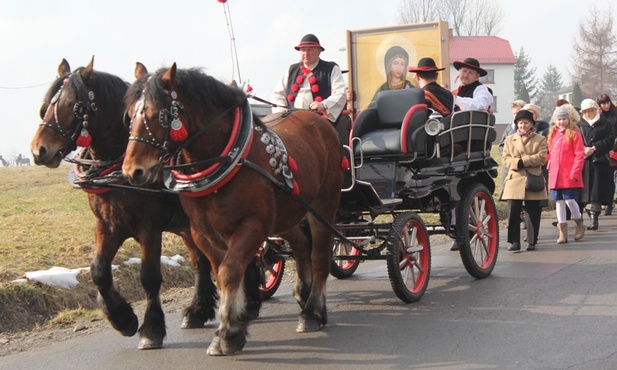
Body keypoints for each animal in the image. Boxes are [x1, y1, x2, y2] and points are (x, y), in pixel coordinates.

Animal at [31, 57, 220, 350]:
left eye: (73, 105)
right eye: (47, 105)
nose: (39, 150)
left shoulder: (149, 227)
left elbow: (149, 276)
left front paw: (151, 329)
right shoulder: (108, 225)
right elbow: (98, 271)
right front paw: (122, 318)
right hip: (188, 227)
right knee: (201, 261)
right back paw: (198, 310)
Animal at [122, 64, 344, 356]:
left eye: (157, 115)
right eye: (129, 116)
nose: (132, 171)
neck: (228, 160)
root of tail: (319, 121)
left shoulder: (252, 226)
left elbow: (230, 271)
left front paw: (228, 332)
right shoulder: (202, 232)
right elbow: (222, 272)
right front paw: (235, 322)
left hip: (323, 205)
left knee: (319, 255)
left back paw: (313, 311)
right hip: (286, 213)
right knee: (300, 244)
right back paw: (304, 295)